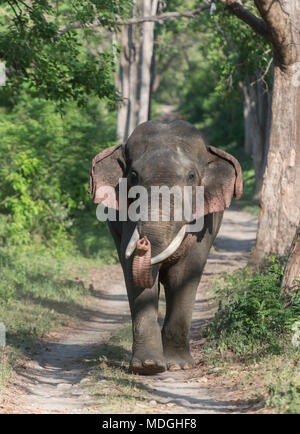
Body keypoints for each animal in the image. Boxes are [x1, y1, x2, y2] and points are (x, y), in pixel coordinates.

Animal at [88, 120, 241, 374]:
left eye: (191, 176)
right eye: (133, 175)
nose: (143, 242)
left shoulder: (204, 224)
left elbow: (184, 273)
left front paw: (179, 365)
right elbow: (133, 271)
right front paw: (148, 366)